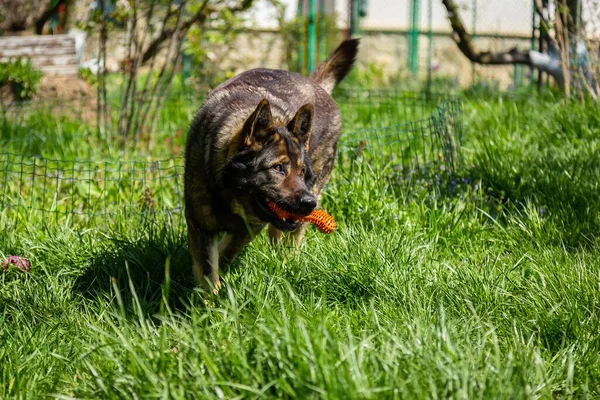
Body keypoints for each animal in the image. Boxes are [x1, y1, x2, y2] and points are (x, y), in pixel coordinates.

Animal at [185, 39, 358, 292]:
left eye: (302, 172)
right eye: (278, 168)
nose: (309, 204)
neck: (230, 193)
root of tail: (316, 85)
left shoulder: (249, 227)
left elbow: (226, 254)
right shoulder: (200, 225)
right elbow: (209, 272)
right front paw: (209, 300)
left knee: (290, 239)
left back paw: (287, 262)